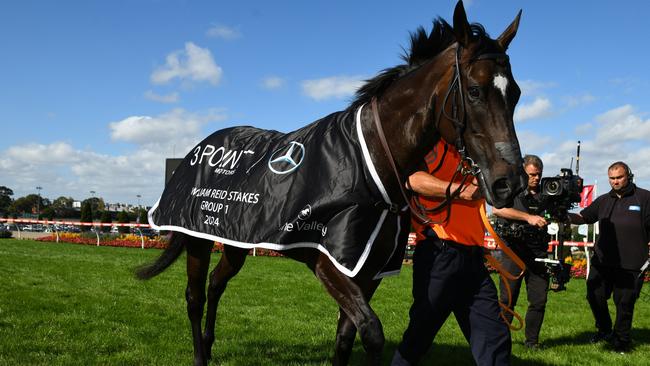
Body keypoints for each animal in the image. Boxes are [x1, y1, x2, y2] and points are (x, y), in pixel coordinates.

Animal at [137, 1, 528, 364]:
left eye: (516, 93)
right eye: (475, 91)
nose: (510, 182)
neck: (369, 163)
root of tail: (200, 146)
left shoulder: (368, 272)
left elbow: (346, 337)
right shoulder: (328, 262)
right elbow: (371, 332)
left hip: (233, 238)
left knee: (217, 284)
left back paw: (208, 343)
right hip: (198, 238)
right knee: (194, 296)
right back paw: (199, 354)